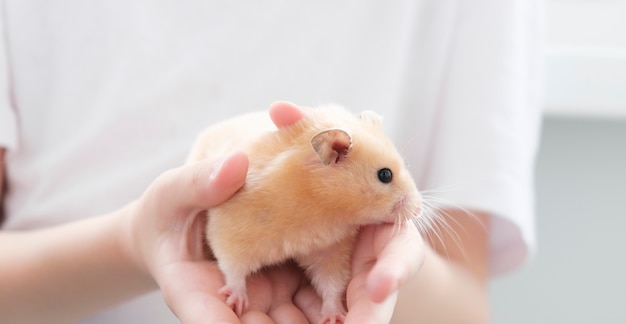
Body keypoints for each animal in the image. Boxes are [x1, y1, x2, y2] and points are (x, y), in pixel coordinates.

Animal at [185, 103, 420, 324]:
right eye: (385, 175)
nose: (418, 209)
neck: (321, 207)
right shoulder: (231, 231)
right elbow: (232, 268)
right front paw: (235, 302)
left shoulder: (331, 250)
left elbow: (331, 284)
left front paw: (333, 317)